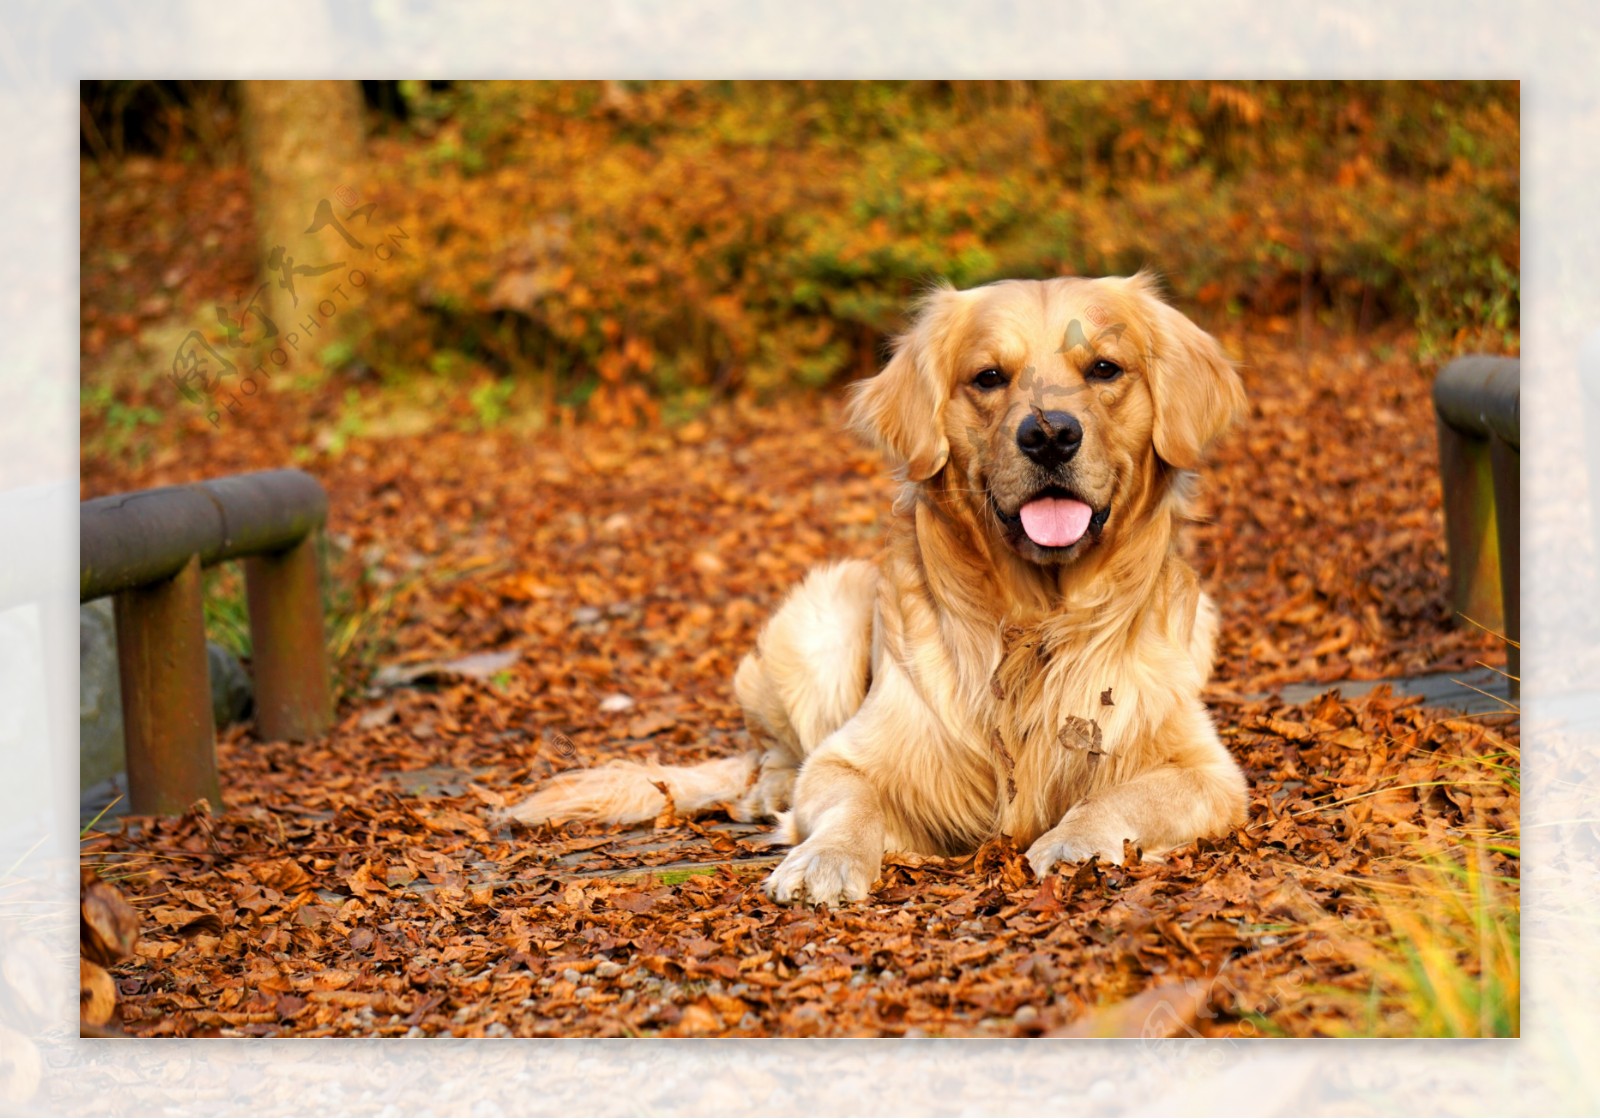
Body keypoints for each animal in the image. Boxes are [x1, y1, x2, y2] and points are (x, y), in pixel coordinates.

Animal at [505, 273, 1254, 909]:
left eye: (1104, 369)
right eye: (988, 377)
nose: (1048, 434)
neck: (1033, 623)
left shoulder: (1207, 770)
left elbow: (1118, 798)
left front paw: (1077, 840)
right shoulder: (849, 757)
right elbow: (849, 801)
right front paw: (824, 858)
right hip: (821, 611)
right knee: (773, 758)